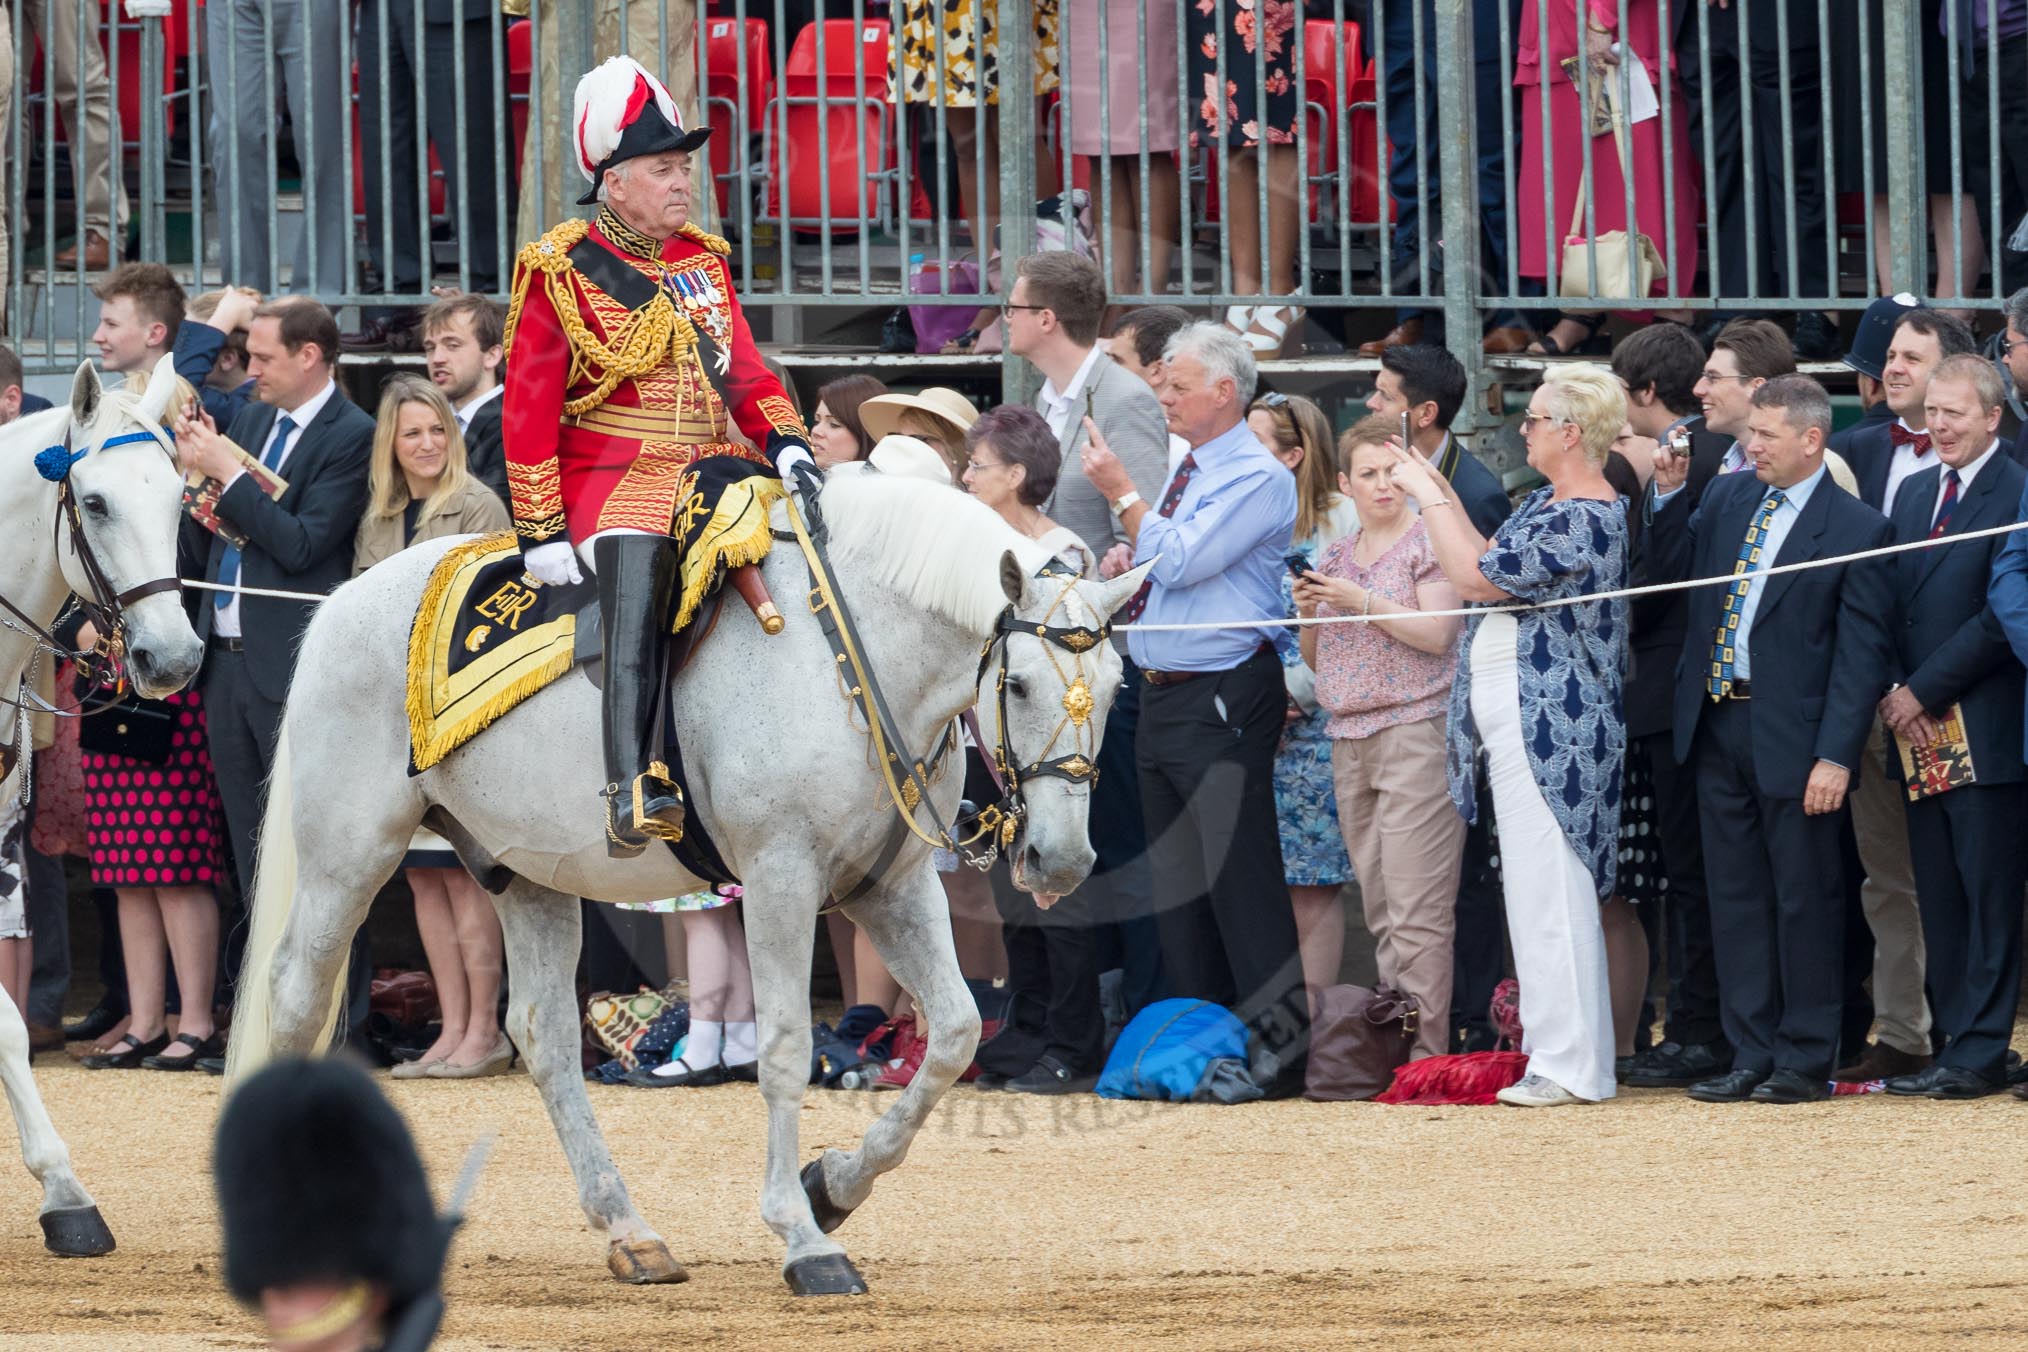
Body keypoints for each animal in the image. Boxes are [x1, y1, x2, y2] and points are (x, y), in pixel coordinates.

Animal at [225, 465, 1153, 1295]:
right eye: (1019, 683)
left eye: (1115, 687)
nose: (1063, 861)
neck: (849, 656)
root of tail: (343, 600)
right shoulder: (782, 878)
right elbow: (784, 1048)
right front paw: (804, 1237)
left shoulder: (889, 885)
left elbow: (957, 1032)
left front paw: (835, 1186)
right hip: (350, 853)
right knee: (297, 994)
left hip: (523, 870)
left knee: (544, 1034)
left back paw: (630, 1232)